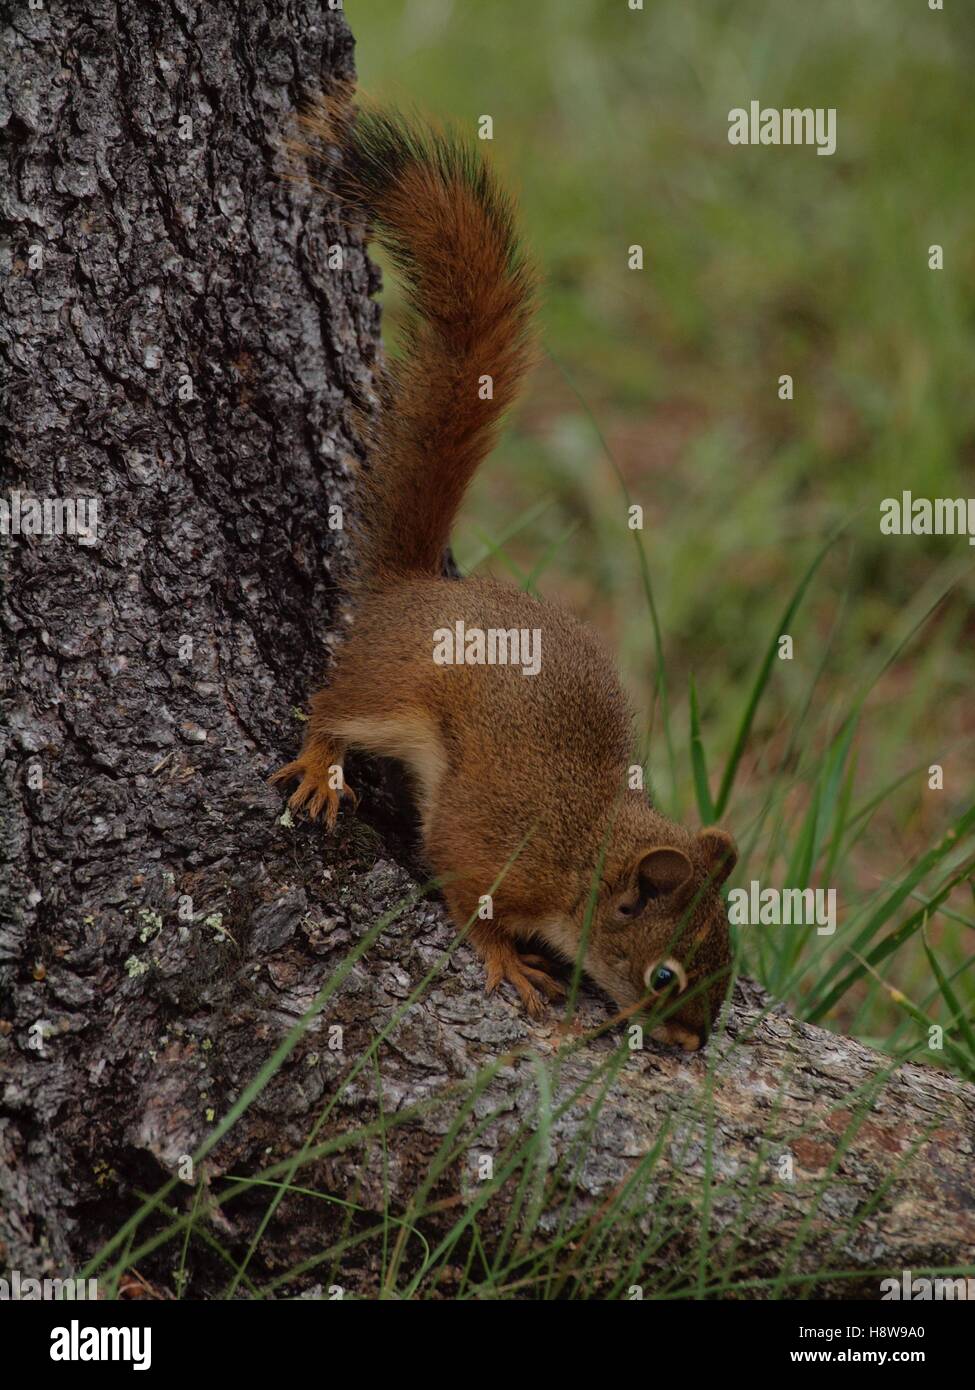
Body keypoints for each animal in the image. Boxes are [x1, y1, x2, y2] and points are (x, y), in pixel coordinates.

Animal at [269, 100, 734, 1050]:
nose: (691, 1043)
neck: (584, 850)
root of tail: (419, 585)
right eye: (664, 974)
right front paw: (505, 960)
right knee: (332, 705)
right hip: (387, 683)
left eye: (730, 962)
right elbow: (462, 889)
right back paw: (319, 762)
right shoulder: (494, 851)